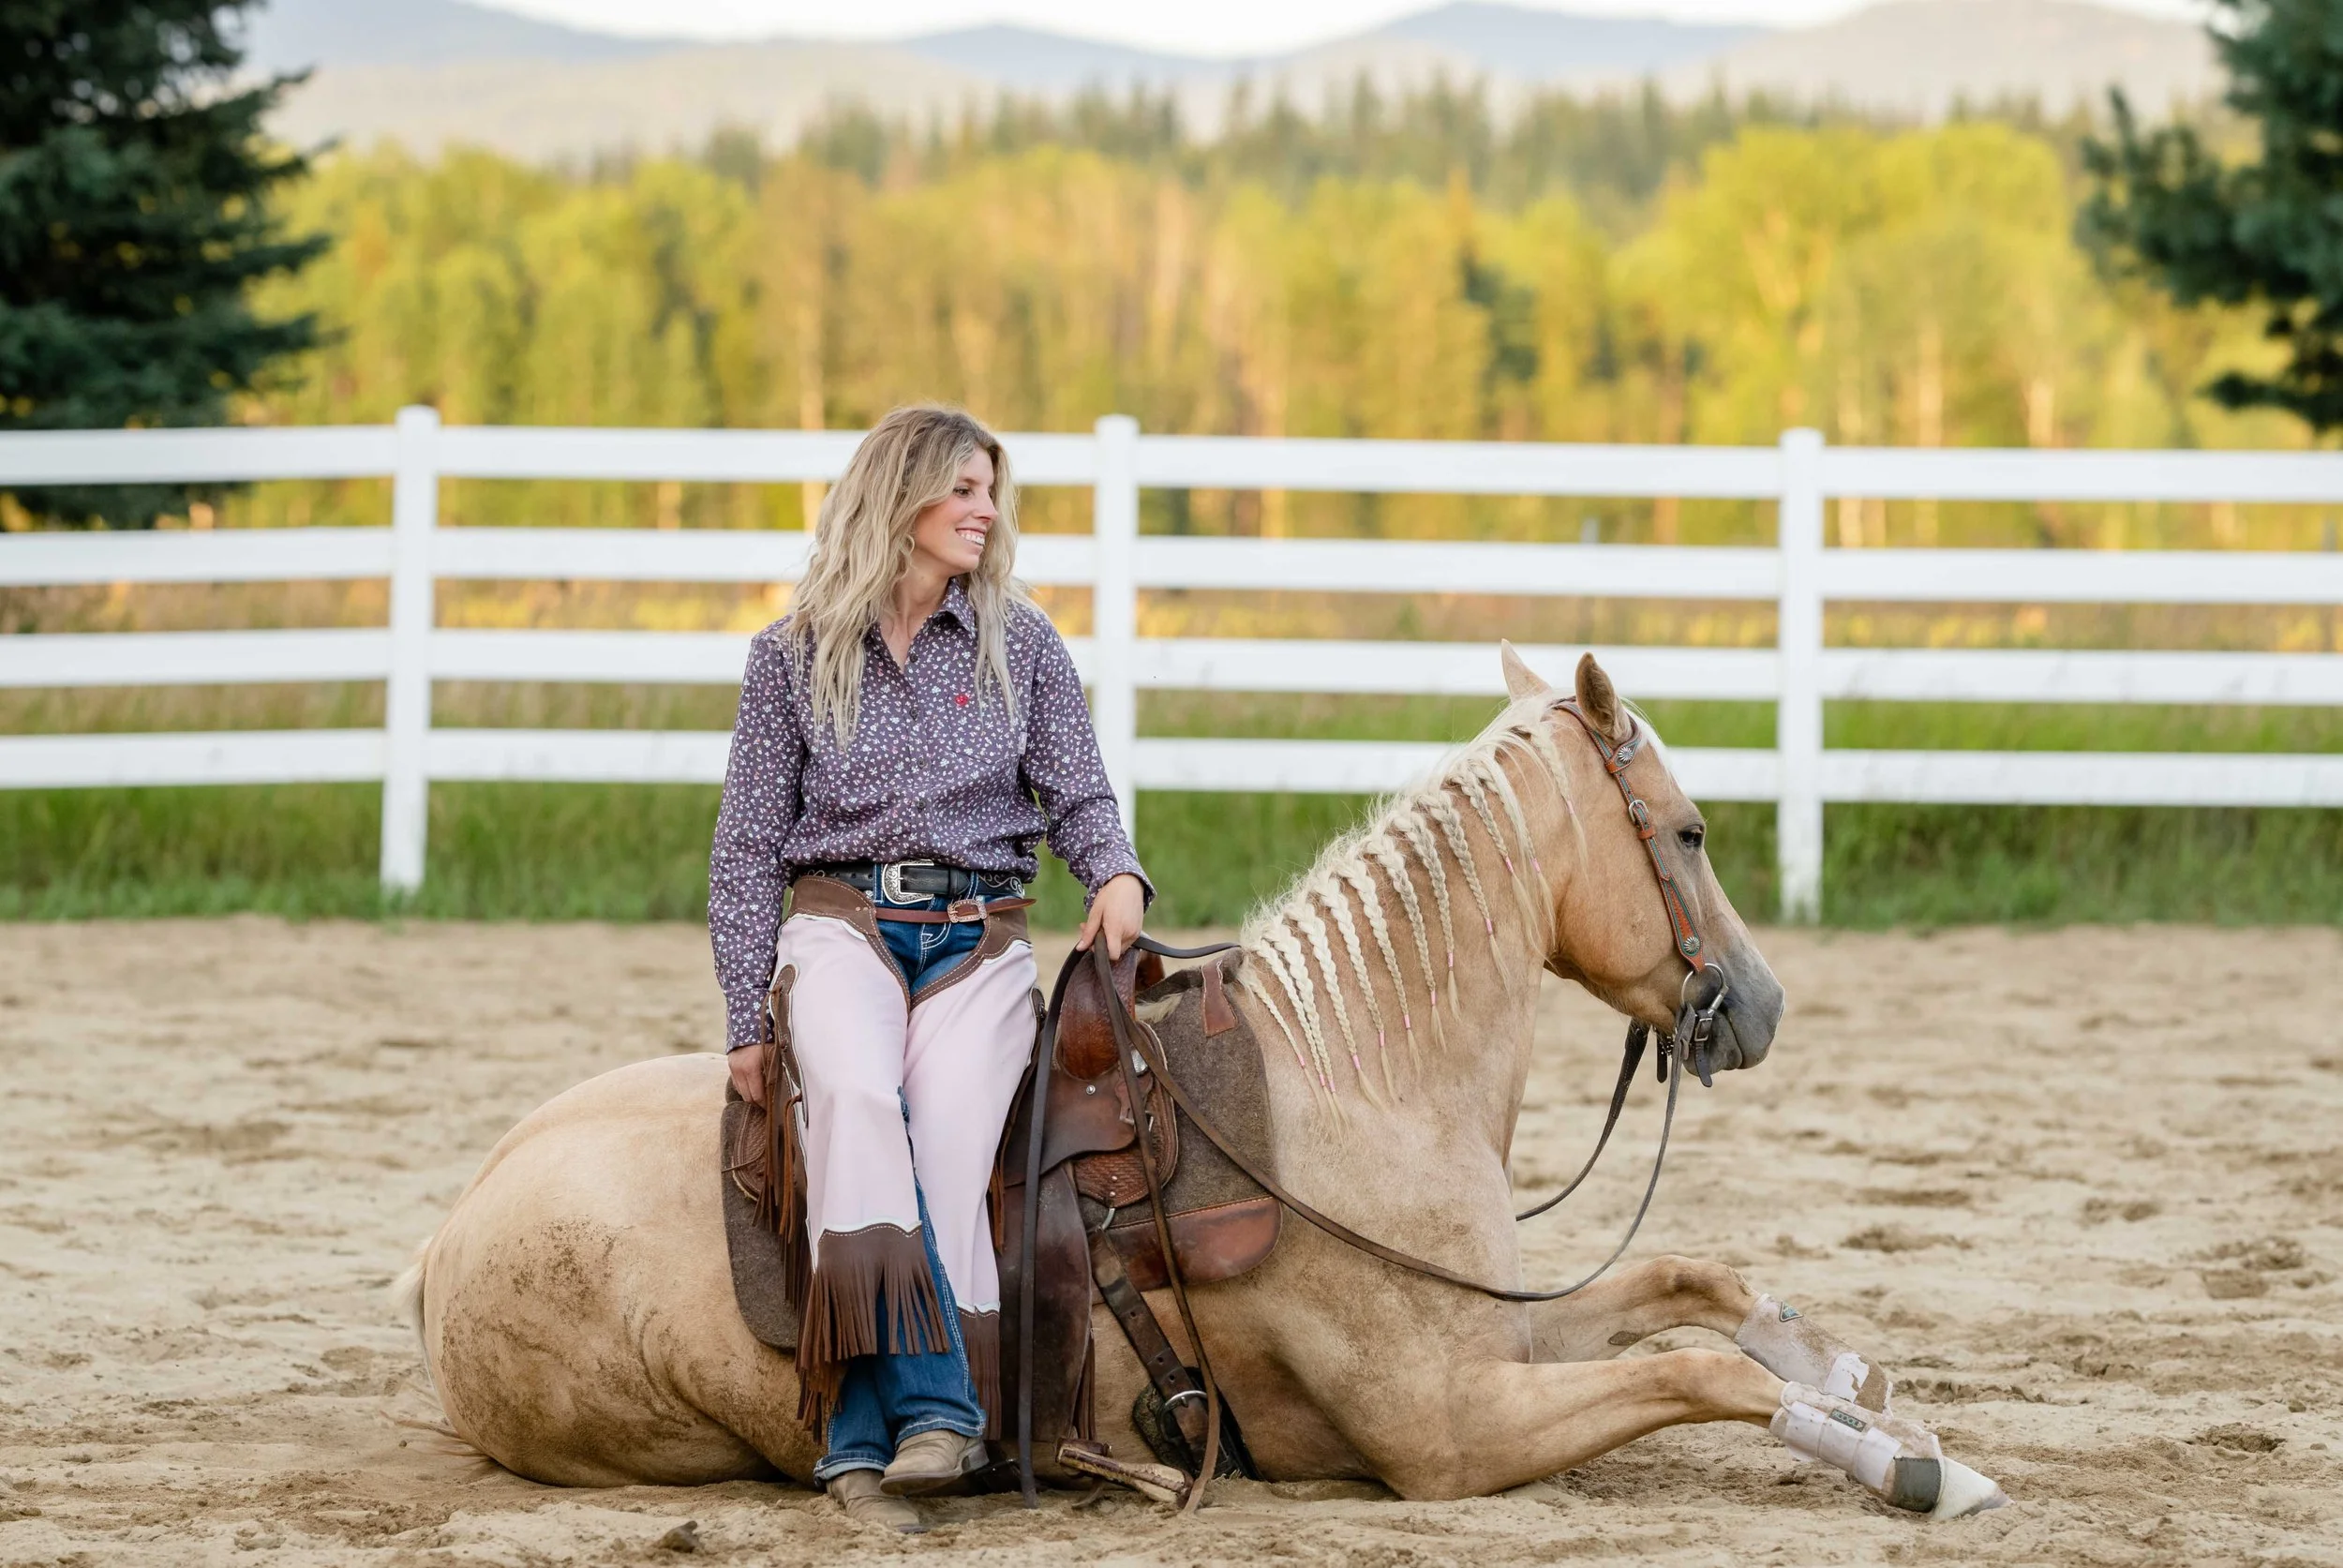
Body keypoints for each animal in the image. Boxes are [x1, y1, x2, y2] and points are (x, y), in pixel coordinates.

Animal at [394, 647, 2006, 1518]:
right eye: (1685, 830)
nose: (1763, 1006)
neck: (1359, 1095)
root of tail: (449, 1234)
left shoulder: (1499, 1336)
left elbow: (1692, 1287)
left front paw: (1860, 1384)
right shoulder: (1446, 1428)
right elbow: (1693, 1369)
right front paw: (1914, 1467)